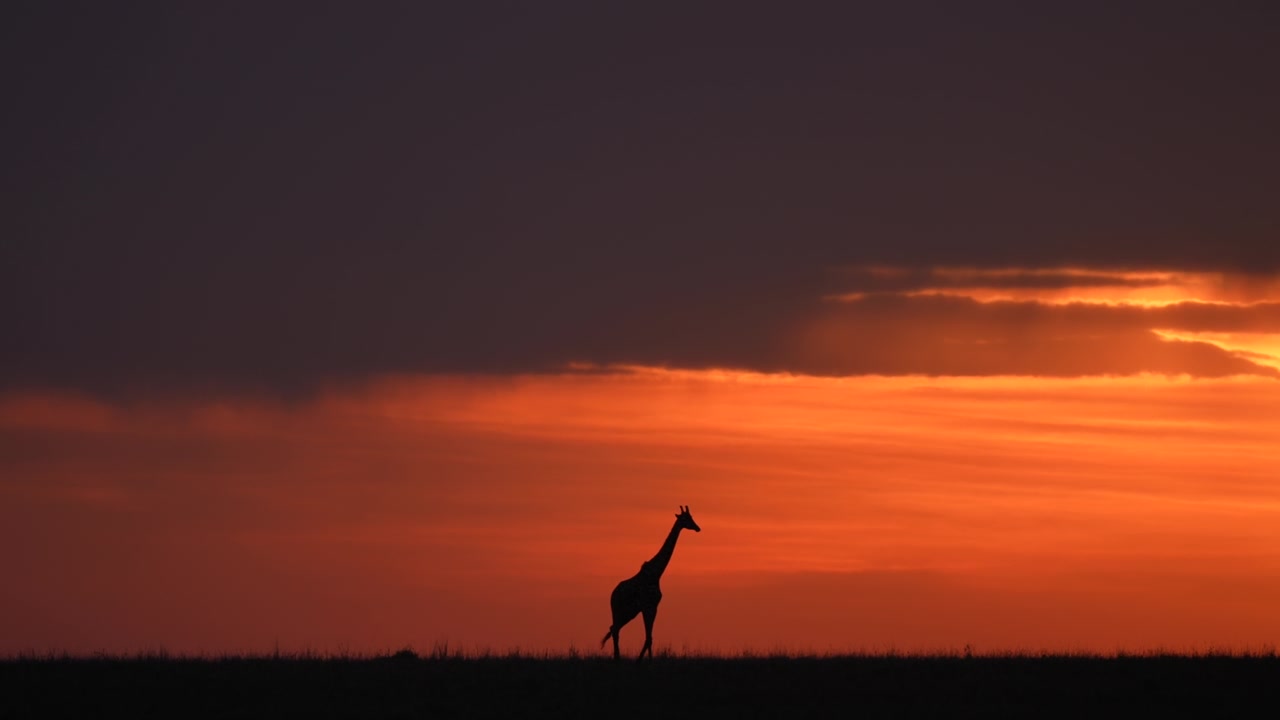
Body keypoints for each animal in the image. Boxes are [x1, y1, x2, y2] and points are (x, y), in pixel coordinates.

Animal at [600, 505, 701, 661]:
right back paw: (617, 657)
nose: (697, 528)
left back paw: (617, 657)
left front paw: (643, 660)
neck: (656, 573)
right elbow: (648, 637)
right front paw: (644, 661)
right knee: (615, 629)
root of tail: (613, 594)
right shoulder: (647, 606)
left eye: (692, 517)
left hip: (630, 612)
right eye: (686, 519)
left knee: (614, 628)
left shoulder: (654, 607)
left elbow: (649, 637)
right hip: (619, 610)